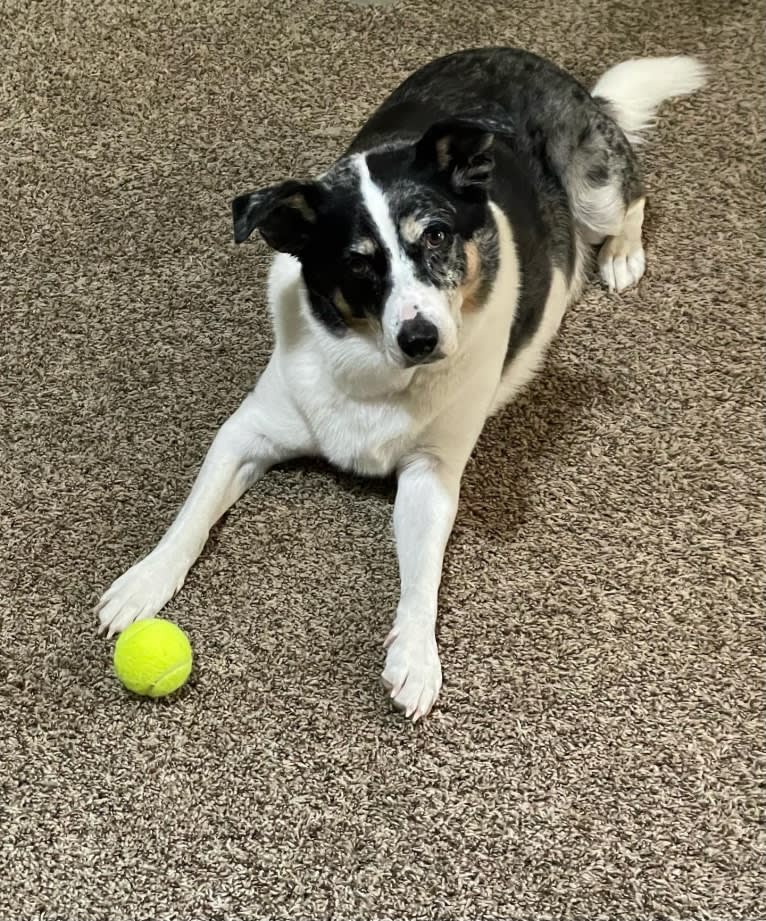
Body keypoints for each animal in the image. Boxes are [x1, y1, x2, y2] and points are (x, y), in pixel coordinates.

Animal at [96, 46, 708, 724]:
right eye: (357, 263)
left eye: (436, 235)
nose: (421, 338)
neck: (373, 370)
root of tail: (540, 65)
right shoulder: (245, 433)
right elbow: (192, 515)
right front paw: (145, 580)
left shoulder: (430, 475)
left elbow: (422, 575)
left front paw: (415, 654)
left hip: (593, 185)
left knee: (632, 195)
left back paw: (622, 254)